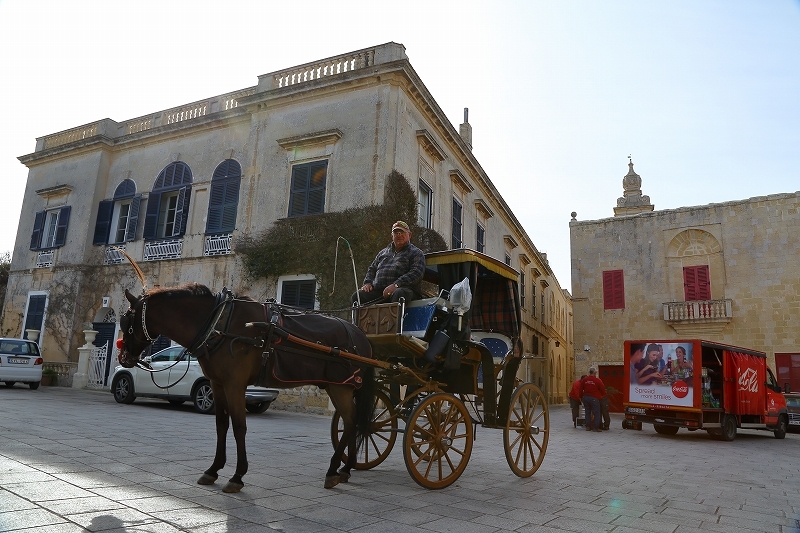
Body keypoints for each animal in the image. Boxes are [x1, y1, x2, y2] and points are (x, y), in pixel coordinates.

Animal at [117, 282, 376, 490]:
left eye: (126, 320)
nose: (123, 358)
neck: (219, 322)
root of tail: (361, 336)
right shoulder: (217, 384)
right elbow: (221, 425)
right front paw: (213, 469)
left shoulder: (235, 385)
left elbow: (239, 427)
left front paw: (237, 476)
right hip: (338, 387)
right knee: (352, 422)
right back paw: (345, 469)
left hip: (341, 387)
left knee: (350, 421)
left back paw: (334, 470)